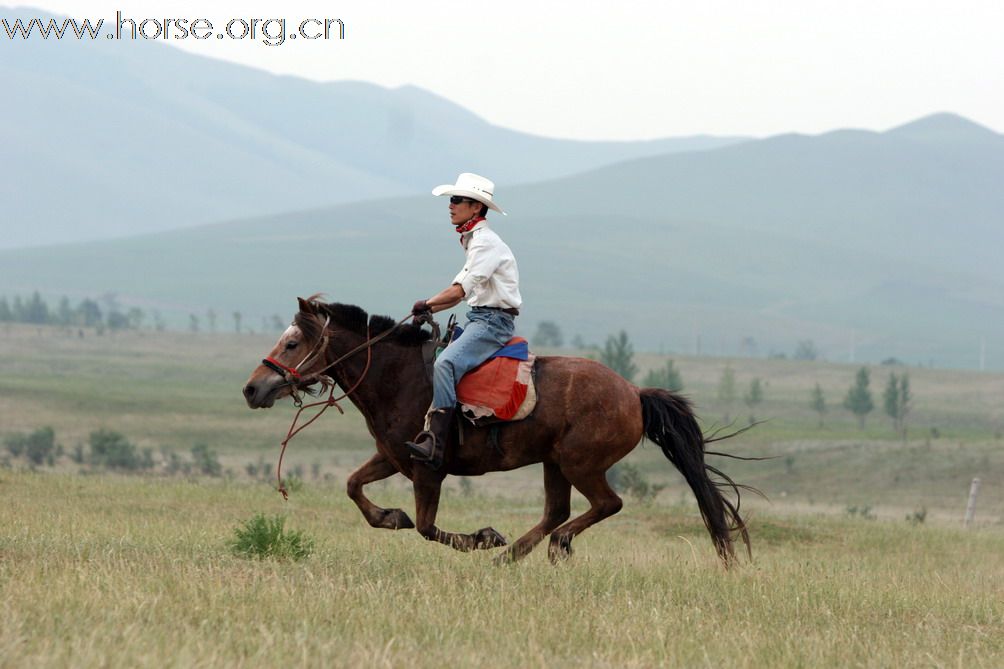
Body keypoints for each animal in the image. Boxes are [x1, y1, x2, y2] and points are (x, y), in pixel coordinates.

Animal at [240, 297, 746, 562]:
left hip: (580, 463)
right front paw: (389, 516)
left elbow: (427, 527)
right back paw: (512, 556)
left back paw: (537, 547)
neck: (397, 376)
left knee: (605, 504)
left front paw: (482, 537)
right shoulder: (392, 456)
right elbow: (353, 486)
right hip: (554, 463)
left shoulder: (427, 468)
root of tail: (634, 392)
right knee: (556, 512)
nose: (251, 389)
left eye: (291, 343)